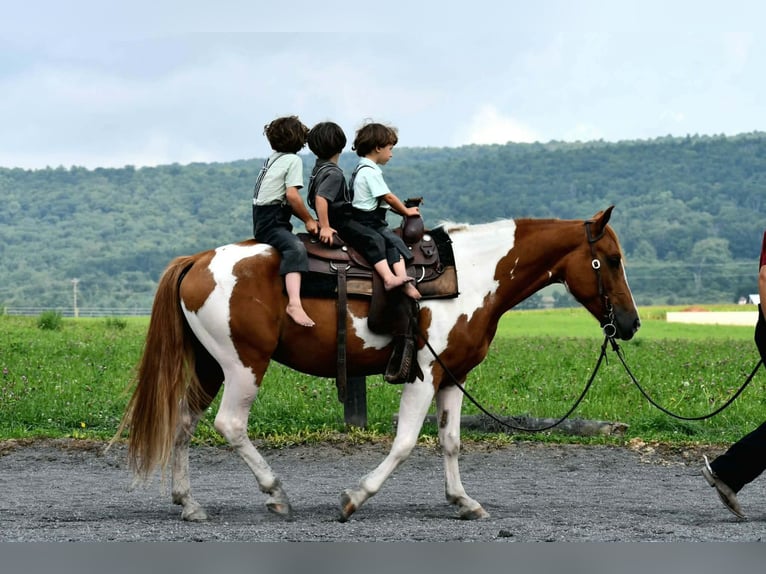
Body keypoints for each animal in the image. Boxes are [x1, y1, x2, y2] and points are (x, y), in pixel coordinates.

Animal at [114, 205, 640, 522]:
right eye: (611, 259)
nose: (631, 323)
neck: (471, 275)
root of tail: (197, 261)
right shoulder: (424, 374)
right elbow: (405, 442)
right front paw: (355, 497)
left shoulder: (453, 377)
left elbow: (450, 442)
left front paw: (463, 501)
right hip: (244, 365)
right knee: (230, 424)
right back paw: (275, 492)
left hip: (209, 366)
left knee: (183, 422)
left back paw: (189, 504)